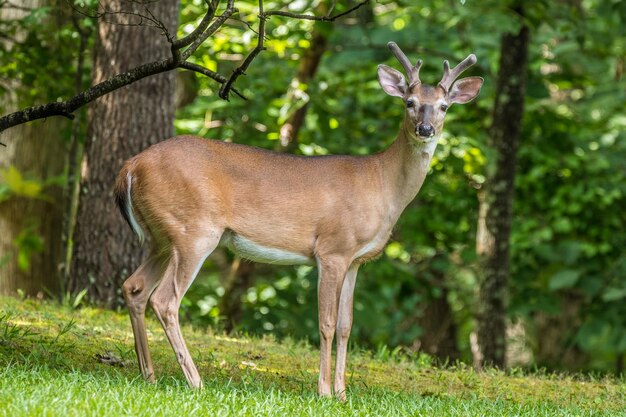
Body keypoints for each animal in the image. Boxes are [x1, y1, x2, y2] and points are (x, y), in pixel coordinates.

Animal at [113, 40, 482, 398]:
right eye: (409, 102)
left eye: (444, 106)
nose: (425, 128)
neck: (382, 185)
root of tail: (130, 166)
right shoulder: (333, 249)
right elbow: (327, 323)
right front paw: (324, 391)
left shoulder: (356, 260)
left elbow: (346, 325)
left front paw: (343, 393)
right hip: (194, 231)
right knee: (165, 300)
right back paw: (195, 381)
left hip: (162, 238)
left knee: (134, 287)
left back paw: (149, 375)